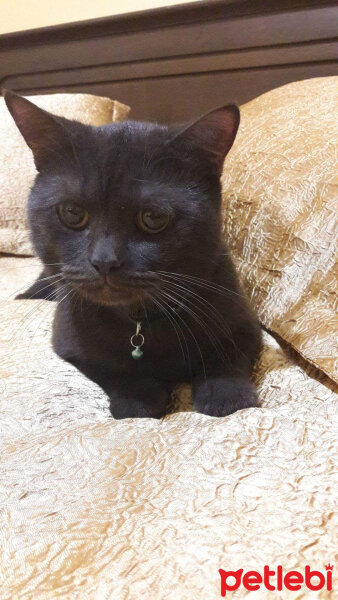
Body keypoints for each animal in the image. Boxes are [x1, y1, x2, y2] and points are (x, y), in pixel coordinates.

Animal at [4, 91, 262, 420]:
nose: (104, 261)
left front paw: (226, 394)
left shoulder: (246, 325)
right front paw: (139, 399)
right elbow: (113, 368)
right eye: (72, 213)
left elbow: (225, 356)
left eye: (153, 218)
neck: (141, 324)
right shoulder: (69, 342)